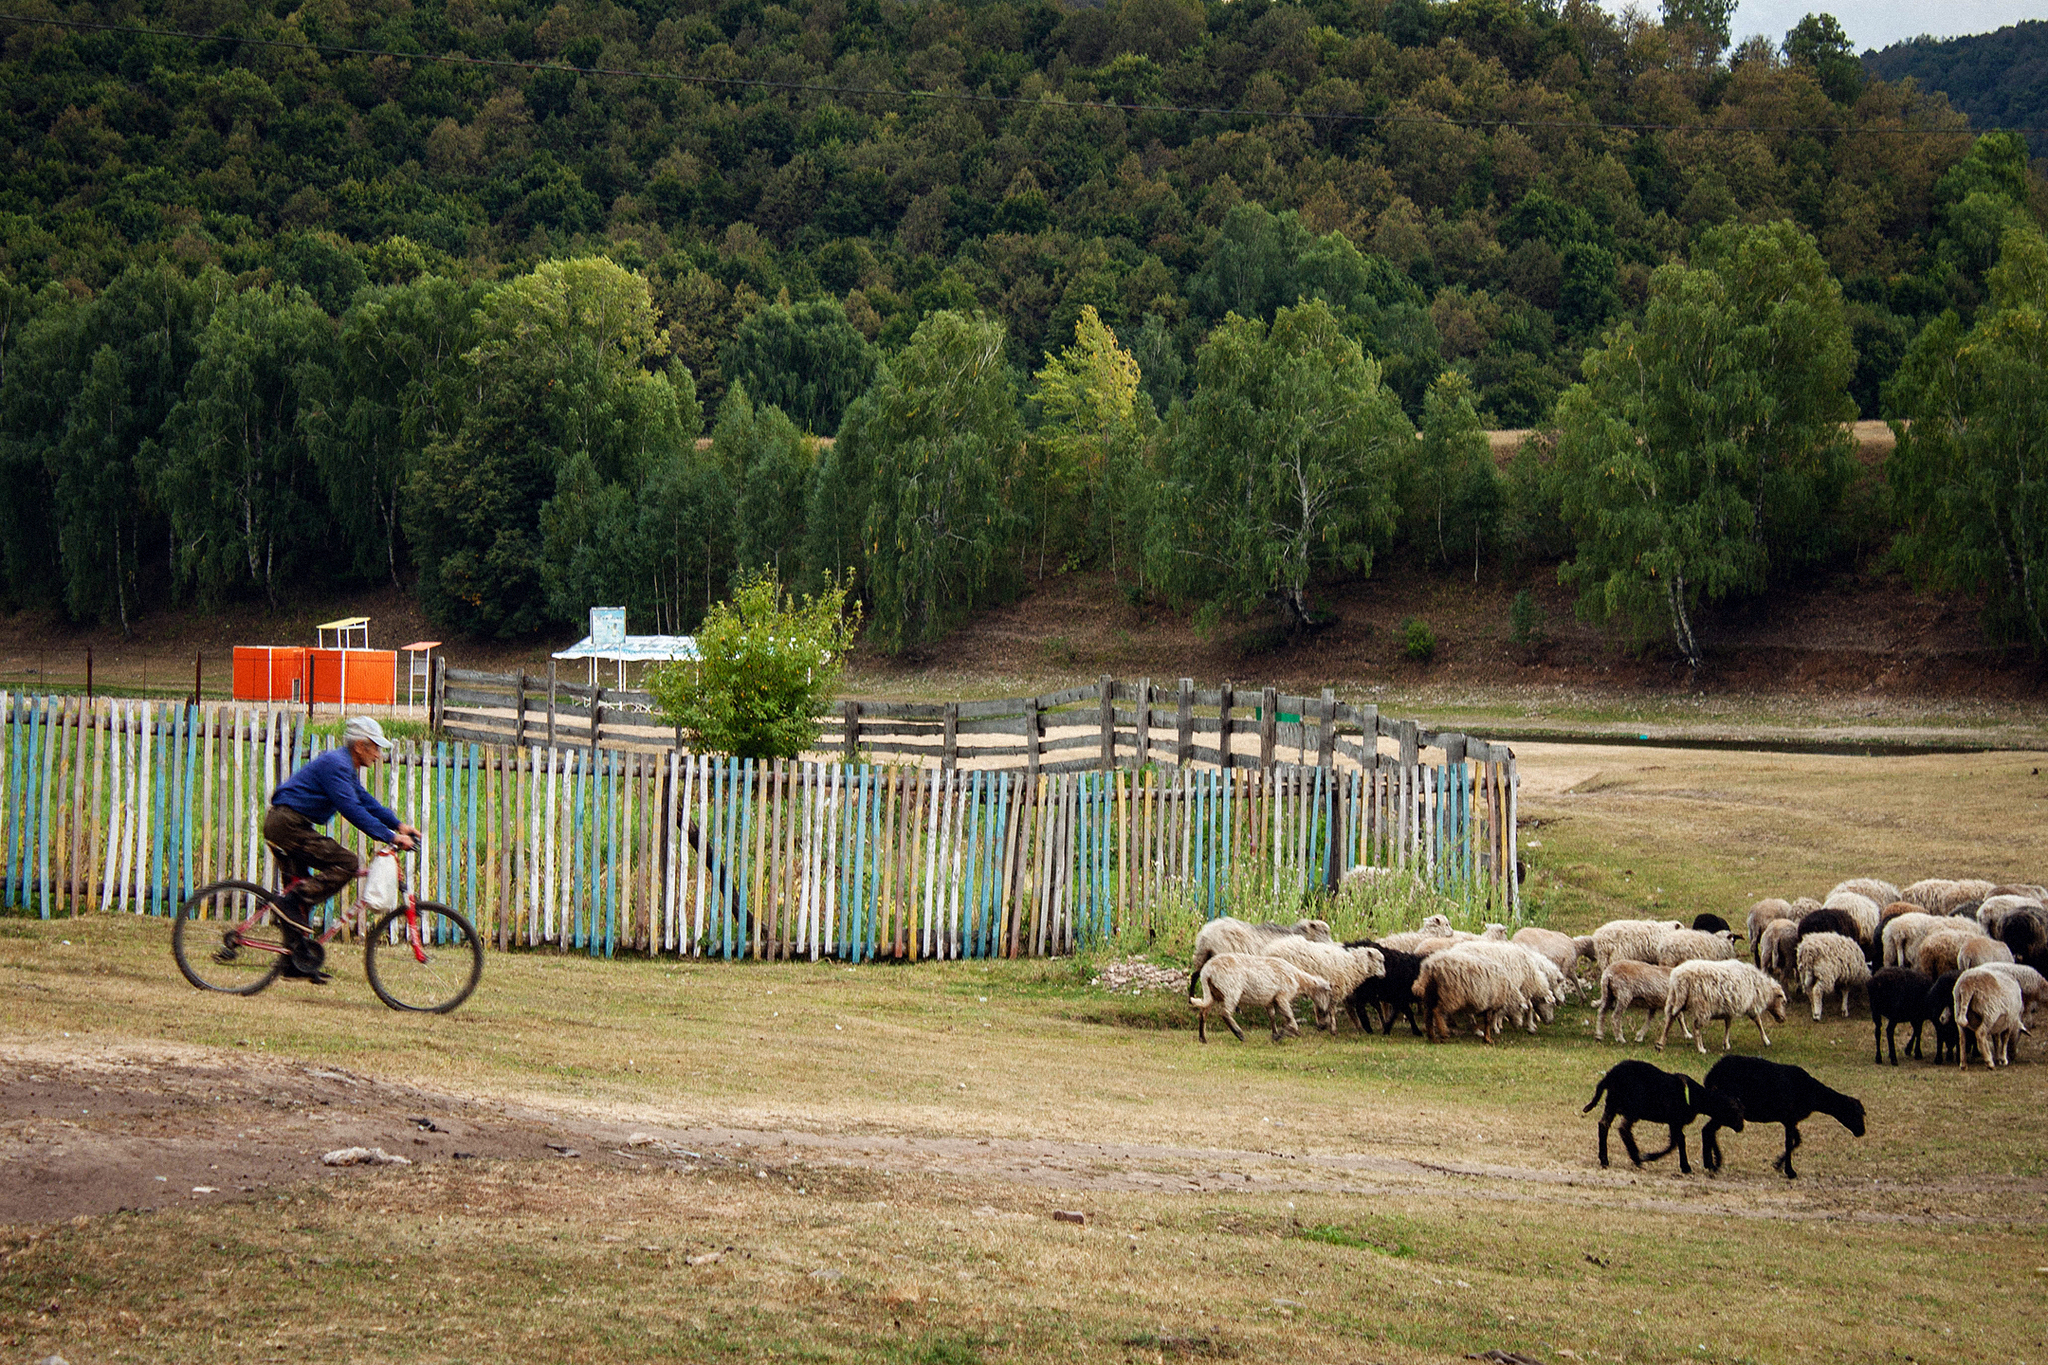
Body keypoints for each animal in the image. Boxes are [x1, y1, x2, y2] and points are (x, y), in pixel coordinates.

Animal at [1196, 957, 1335, 1039]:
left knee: (1203, 1013)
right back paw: (1238, 1033)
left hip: (1213, 992)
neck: (1299, 979)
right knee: (1224, 1013)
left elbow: (1272, 1016)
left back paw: (1202, 1038)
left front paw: (1276, 1034)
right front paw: (1289, 1032)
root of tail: (1207, 972)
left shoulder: (1270, 1000)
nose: (1322, 1026)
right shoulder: (1282, 997)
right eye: (1328, 994)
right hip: (1232, 990)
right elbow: (1290, 1016)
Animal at [1581, 1055, 1744, 1178]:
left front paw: (1684, 1166)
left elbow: (1679, 1141)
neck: (1697, 1097)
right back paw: (1636, 1158)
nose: (1741, 1127)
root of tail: (1610, 1075)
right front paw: (1650, 1156)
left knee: (1603, 1125)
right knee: (1623, 1129)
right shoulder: (1676, 1120)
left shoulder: (1674, 1122)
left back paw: (1604, 1159)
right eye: (1735, 1112)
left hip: (1613, 1103)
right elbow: (1675, 1143)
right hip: (1633, 1106)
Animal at [1654, 961, 1785, 1055]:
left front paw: (1726, 1044)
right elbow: (1758, 1022)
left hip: (1674, 998)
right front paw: (1766, 1041)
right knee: (1696, 1026)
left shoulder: (1729, 1007)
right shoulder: (1751, 1005)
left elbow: (1728, 1024)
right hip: (1702, 1005)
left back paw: (1660, 1044)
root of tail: (1679, 979)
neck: (1762, 988)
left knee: (1670, 1019)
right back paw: (1701, 1049)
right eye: (1783, 1001)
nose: (1783, 1019)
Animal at [1687, 1055, 1867, 1178]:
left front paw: (1778, 1165)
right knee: (1708, 1130)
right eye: (1855, 1113)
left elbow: (1796, 1141)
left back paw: (1712, 1162)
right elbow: (1790, 1142)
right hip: (1726, 1108)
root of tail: (1710, 1075)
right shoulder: (1790, 1118)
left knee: (1708, 1130)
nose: (1862, 1132)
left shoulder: (1790, 1119)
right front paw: (1790, 1171)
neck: (1814, 1094)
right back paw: (1714, 1163)